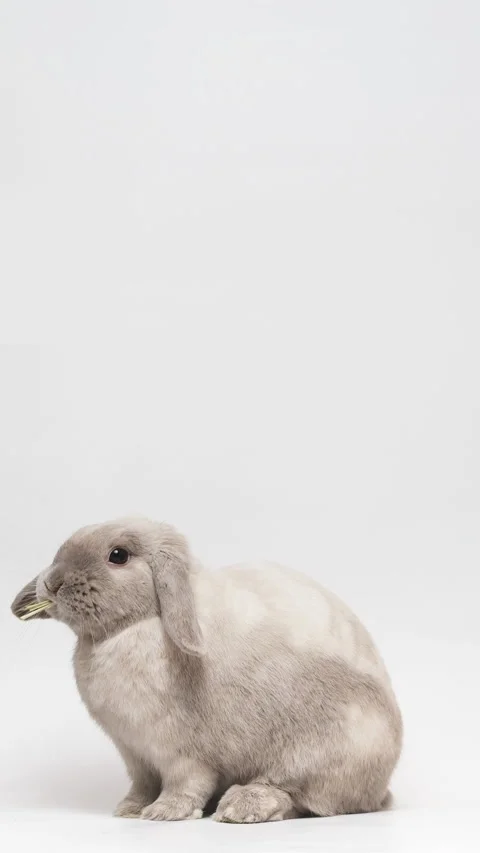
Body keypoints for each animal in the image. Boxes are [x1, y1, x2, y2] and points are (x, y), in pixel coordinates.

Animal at [11, 517, 402, 823]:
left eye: (118, 555)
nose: (52, 583)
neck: (137, 625)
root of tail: (380, 791)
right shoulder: (136, 756)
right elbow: (141, 785)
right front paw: (130, 810)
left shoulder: (182, 753)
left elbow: (186, 783)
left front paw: (164, 812)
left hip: (323, 754)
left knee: (300, 798)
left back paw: (242, 806)